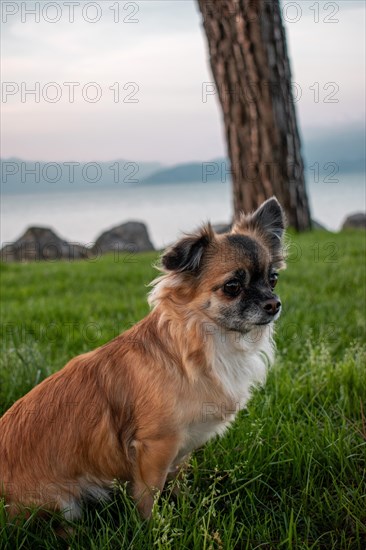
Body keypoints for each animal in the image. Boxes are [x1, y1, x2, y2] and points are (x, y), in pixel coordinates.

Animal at [0, 197, 286, 520]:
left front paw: (186, 509)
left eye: (273, 279)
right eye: (232, 287)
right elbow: (149, 497)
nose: (274, 304)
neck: (211, 344)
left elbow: (178, 482)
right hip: (61, 503)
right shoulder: (155, 448)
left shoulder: (180, 450)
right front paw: (151, 526)